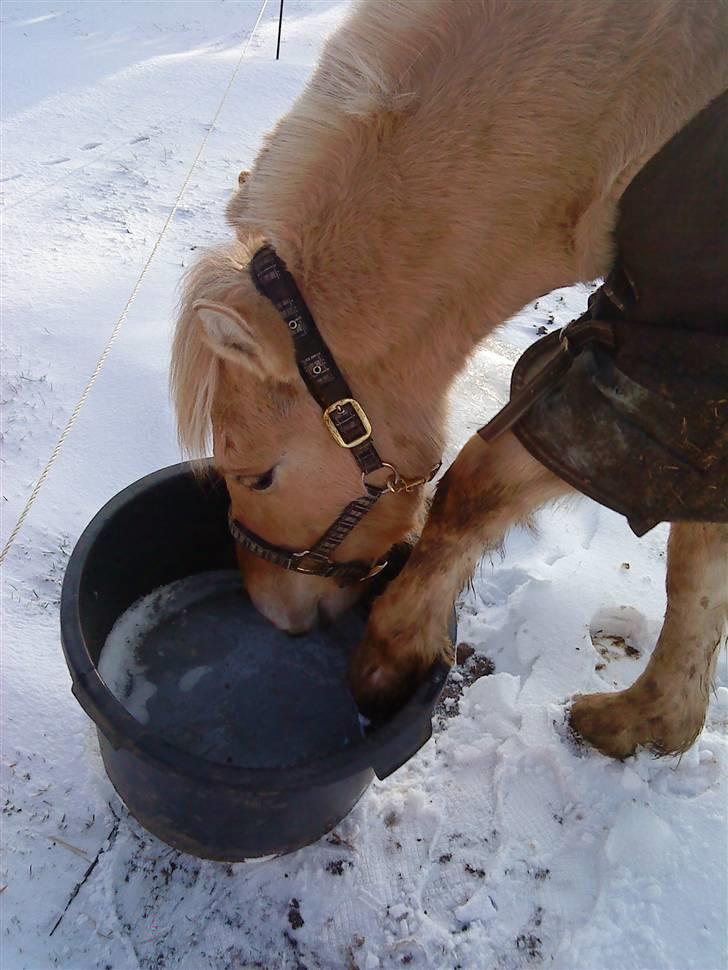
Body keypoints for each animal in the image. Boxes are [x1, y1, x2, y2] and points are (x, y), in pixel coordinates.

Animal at [172, 0, 728, 756]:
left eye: (258, 477)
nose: (268, 612)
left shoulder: (666, 366)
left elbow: (474, 488)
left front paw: (389, 660)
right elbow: (701, 557)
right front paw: (654, 721)